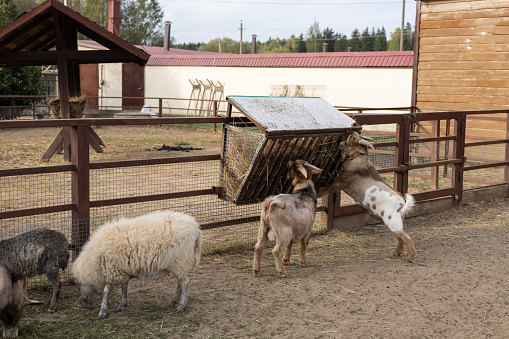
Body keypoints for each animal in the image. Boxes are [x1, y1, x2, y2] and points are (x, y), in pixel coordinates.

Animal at [72, 210, 202, 318]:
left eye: (78, 287)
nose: (87, 306)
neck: (94, 261)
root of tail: (196, 228)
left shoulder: (112, 270)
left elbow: (106, 290)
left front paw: (102, 311)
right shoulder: (122, 270)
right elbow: (124, 286)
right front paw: (122, 304)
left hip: (179, 261)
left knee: (185, 283)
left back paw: (181, 306)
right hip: (178, 265)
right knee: (180, 283)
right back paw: (173, 301)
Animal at [320, 132, 414, 262]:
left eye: (352, 140)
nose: (340, 143)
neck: (359, 163)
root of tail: (402, 203)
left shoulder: (339, 183)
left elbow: (322, 190)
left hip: (392, 221)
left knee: (407, 238)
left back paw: (411, 259)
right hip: (395, 222)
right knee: (401, 238)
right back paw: (396, 253)